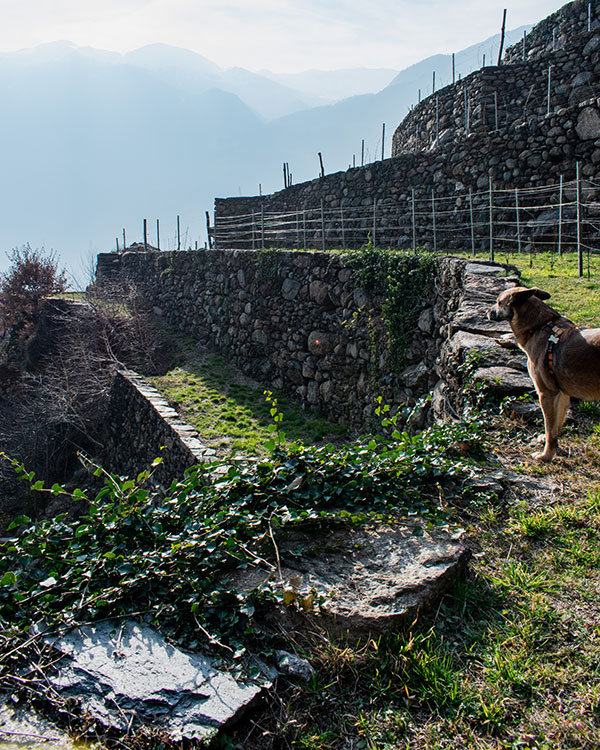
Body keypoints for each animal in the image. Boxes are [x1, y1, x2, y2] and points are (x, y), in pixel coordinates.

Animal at [488, 288, 600, 464]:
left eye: (499, 302)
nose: (487, 311)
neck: (538, 326)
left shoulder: (546, 394)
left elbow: (549, 428)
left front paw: (546, 455)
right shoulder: (561, 393)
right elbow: (555, 427)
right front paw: (551, 447)